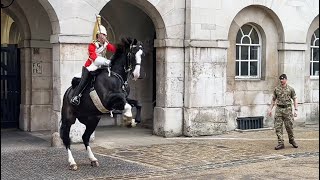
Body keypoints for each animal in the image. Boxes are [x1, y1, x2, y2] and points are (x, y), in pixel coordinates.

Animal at [59, 37, 144, 170]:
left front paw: (135, 121)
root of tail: (68, 92)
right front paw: (128, 119)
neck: (116, 76)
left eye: (142, 54)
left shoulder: (123, 98)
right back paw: (72, 162)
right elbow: (127, 105)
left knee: (85, 137)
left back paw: (93, 159)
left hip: (92, 120)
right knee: (67, 139)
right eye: (132, 53)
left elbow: (136, 103)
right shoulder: (108, 100)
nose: (136, 75)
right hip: (69, 119)